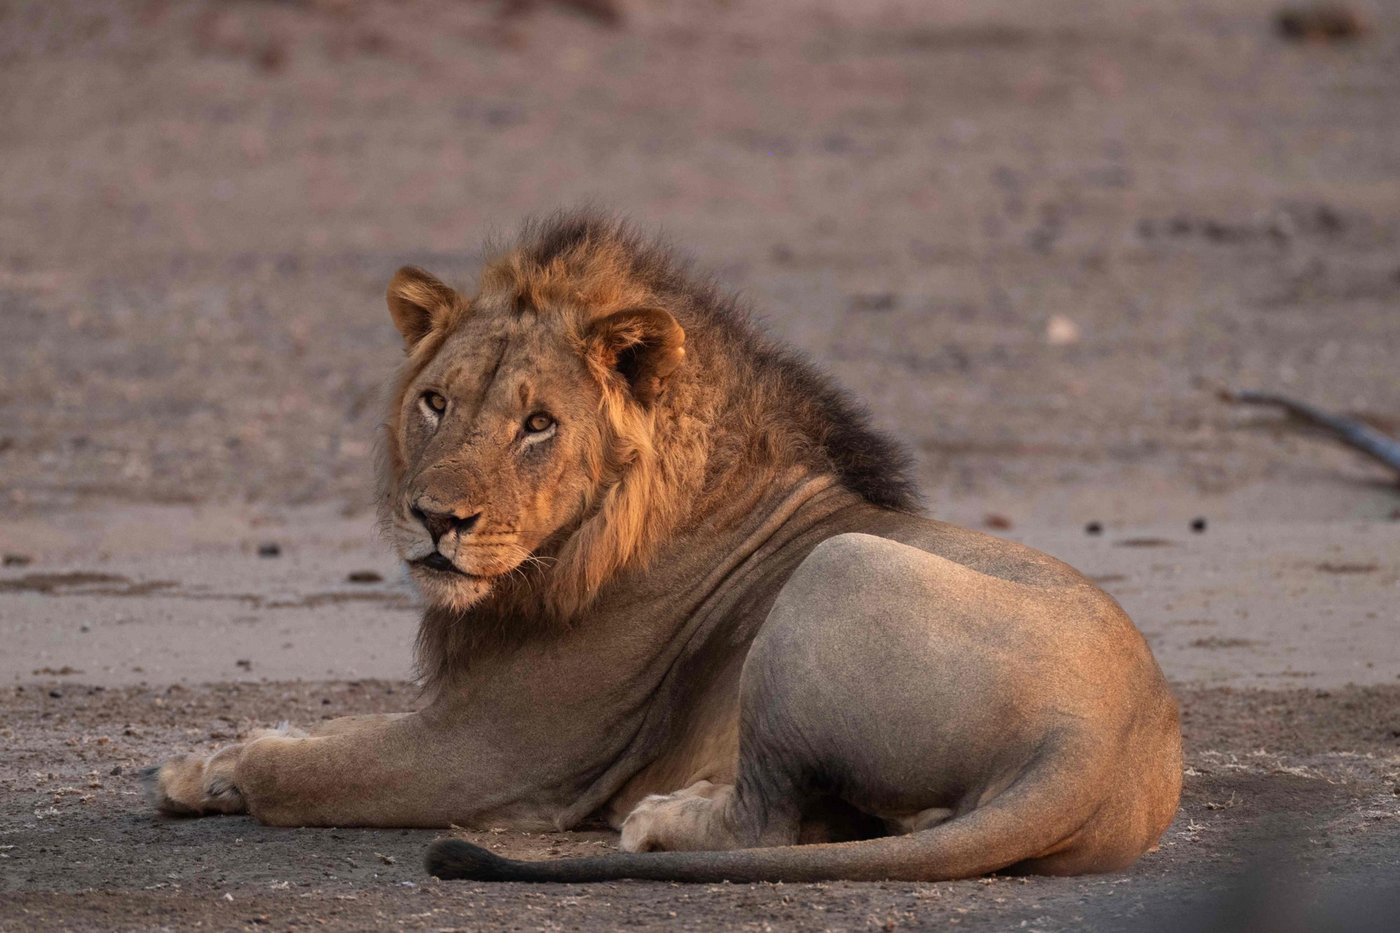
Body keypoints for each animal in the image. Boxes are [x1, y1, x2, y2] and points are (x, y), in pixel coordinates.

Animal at [147, 212, 1182, 883]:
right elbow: (317, 728)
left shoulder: (490, 753)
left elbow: (310, 767)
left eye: (537, 423)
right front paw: (208, 763)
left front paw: (226, 771)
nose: (436, 518)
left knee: (769, 823)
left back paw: (662, 821)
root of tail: (1094, 736)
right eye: (435, 401)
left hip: (835, 571)